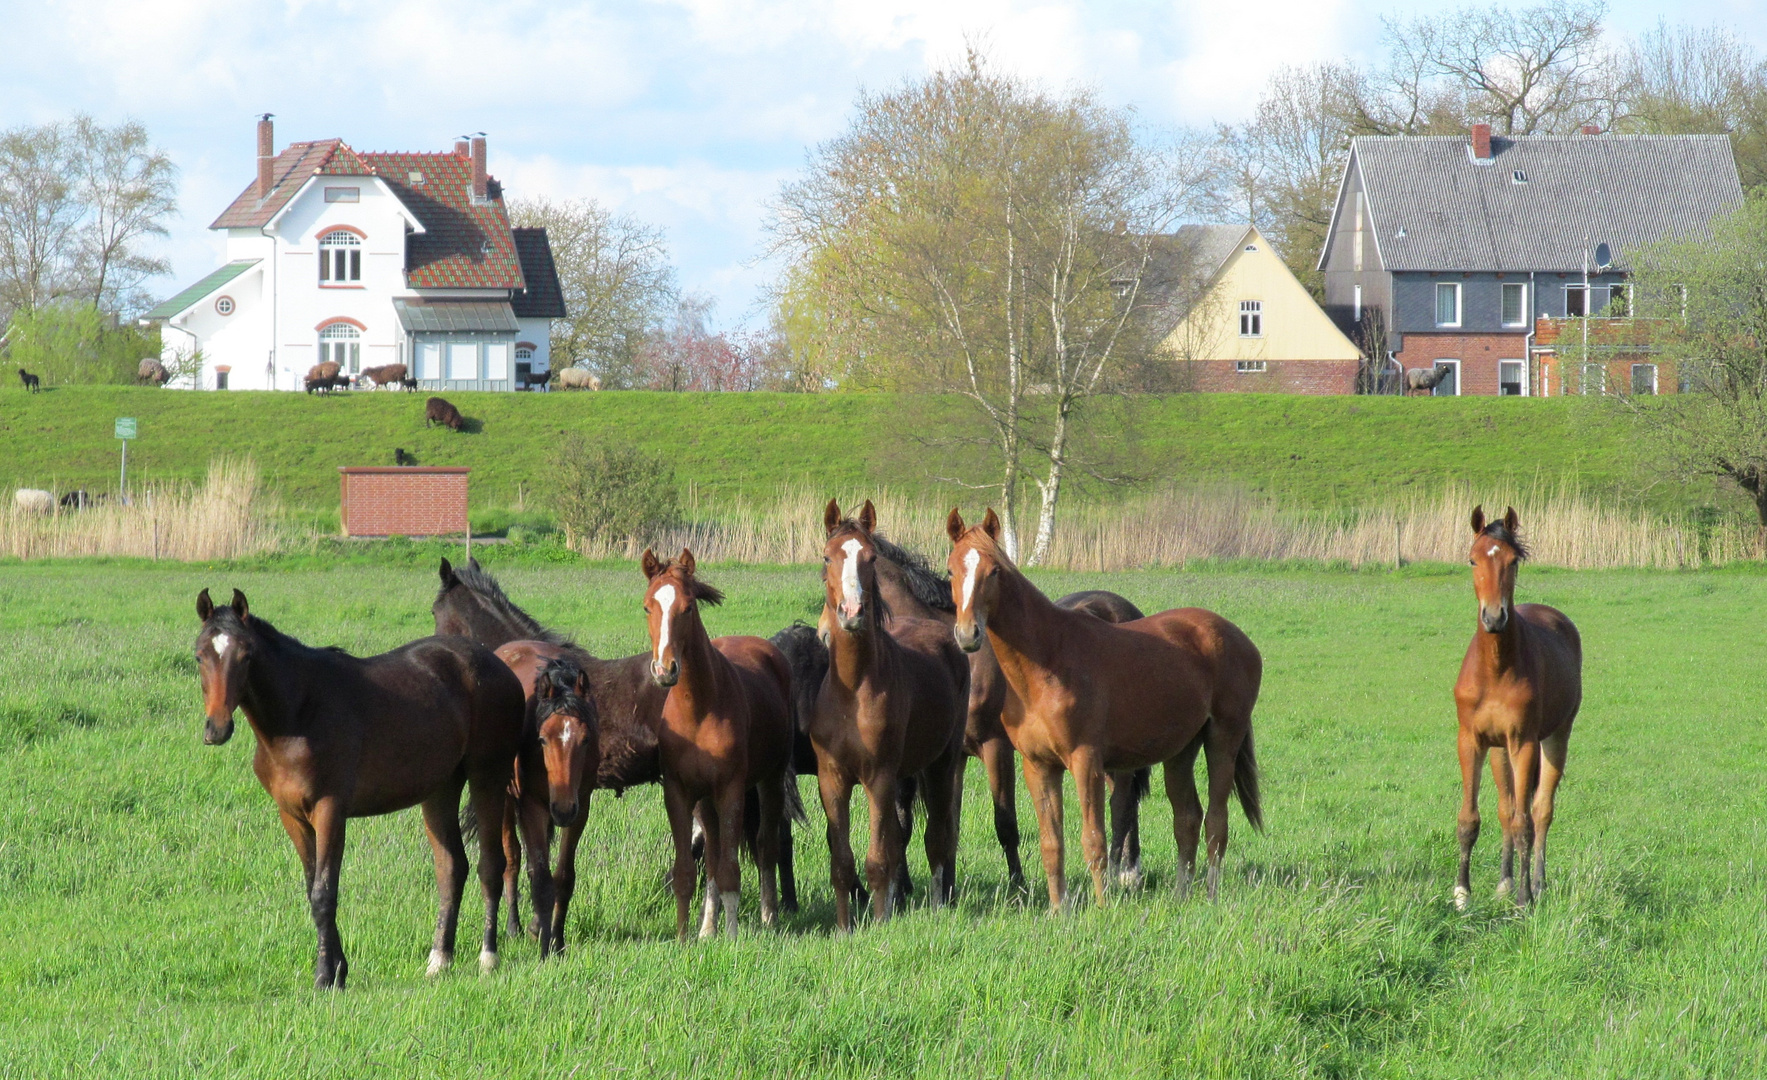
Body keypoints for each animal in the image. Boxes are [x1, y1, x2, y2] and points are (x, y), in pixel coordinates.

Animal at [195, 586, 523, 982]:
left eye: (246, 656)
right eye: (199, 656)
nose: (216, 728)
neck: (300, 714)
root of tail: (499, 665)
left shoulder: (330, 811)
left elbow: (324, 893)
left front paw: (326, 975)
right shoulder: (292, 816)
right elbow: (313, 888)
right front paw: (338, 970)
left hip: (488, 775)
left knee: (491, 864)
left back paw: (488, 957)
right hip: (440, 789)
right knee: (451, 869)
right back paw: (439, 958)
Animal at [643, 547, 795, 940]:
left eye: (688, 607)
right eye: (648, 607)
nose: (665, 670)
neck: (697, 710)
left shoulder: (730, 789)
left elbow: (730, 868)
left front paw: (732, 937)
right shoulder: (679, 792)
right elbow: (688, 869)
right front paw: (685, 937)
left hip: (770, 780)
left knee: (765, 845)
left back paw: (769, 917)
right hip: (706, 801)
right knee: (711, 854)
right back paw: (706, 929)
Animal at [812, 501, 968, 926]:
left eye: (870, 557)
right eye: (827, 557)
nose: (851, 612)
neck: (853, 690)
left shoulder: (878, 778)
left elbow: (879, 857)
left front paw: (880, 922)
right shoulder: (832, 779)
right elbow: (843, 862)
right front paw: (845, 926)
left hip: (943, 763)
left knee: (939, 835)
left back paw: (938, 902)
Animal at [947, 512, 1265, 905]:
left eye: (993, 571)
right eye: (950, 571)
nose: (968, 635)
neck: (1048, 661)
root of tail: (1237, 637)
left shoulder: (1086, 762)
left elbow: (1094, 839)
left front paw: (1100, 907)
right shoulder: (1038, 767)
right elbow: (1052, 844)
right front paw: (1059, 909)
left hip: (1223, 737)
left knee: (1216, 822)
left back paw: (1209, 896)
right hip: (1181, 749)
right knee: (1187, 818)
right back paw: (1180, 895)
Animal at [1456, 512, 1583, 905]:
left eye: (1513, 561)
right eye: (1472, 559)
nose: (1494, 617)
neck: (1495, 669)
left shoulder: (1524, 743)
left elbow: (1524, 822)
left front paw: (1524, 899)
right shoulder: (1470, 740)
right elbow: (1470, 818)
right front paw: (1462, 893)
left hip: (1556, 737)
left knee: (1540, 811)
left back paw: (1537, 883)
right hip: (1499, 751)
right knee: (1506, 808)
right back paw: (1505, 881)